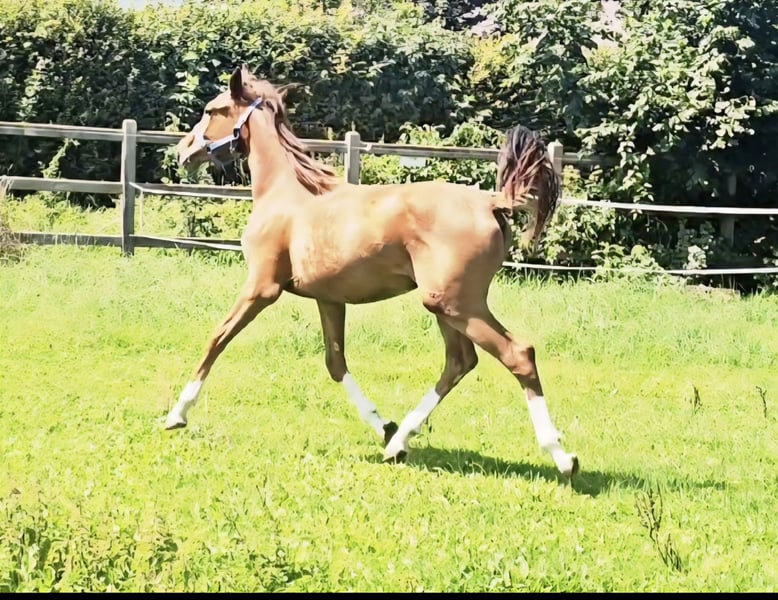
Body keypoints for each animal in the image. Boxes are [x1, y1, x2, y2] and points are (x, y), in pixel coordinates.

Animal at [166, 64, 579, 477]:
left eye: (211, 110)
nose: (182, 151)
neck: (286, 195)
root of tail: (492, 202)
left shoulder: (261, 286)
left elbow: (217, 338)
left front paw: (176, 415)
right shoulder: (329, 299)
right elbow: (336, 363)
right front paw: (384, 426)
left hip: (457, 304)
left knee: (518, 354)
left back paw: (562, 456)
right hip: (447, 305)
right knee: (460, 361)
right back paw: (398, 443)